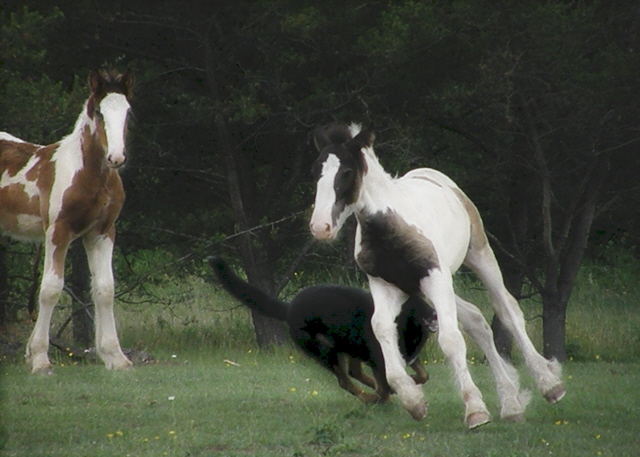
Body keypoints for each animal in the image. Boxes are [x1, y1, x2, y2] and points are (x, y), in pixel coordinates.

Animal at [0, 68, 132, 374]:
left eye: (128, 112)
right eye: (99, 112)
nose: (116, 157)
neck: (89, 174)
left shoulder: (101, 232)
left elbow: (105, 288)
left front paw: (114, 356)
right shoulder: (57, 231)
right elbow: (50, 289)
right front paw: (39, 358)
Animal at [208, 256, 438, 402]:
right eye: (414, 304)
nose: (435, 315)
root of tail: (289, 309)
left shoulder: (404, 356)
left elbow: (423, 375)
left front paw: (408, 383)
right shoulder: (379, 359)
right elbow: (388, 383)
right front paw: (389, 394)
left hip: (347, 345)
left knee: (354, 373)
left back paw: (373, 391)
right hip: (326, 352)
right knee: (345, 381)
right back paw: (370, 397)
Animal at [310, 124, 564, 428]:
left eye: (346, 172)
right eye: (316, 171)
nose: (320, 227)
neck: (390, 229)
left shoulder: (435, 277)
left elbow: (451, 339)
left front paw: (475, 410)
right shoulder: (386, 285)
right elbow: (382, 329)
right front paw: (414, 402)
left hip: (477, 258)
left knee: (508, 310)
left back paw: (549, 385)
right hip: (428, 286)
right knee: (476, 320)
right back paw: (511, 403)